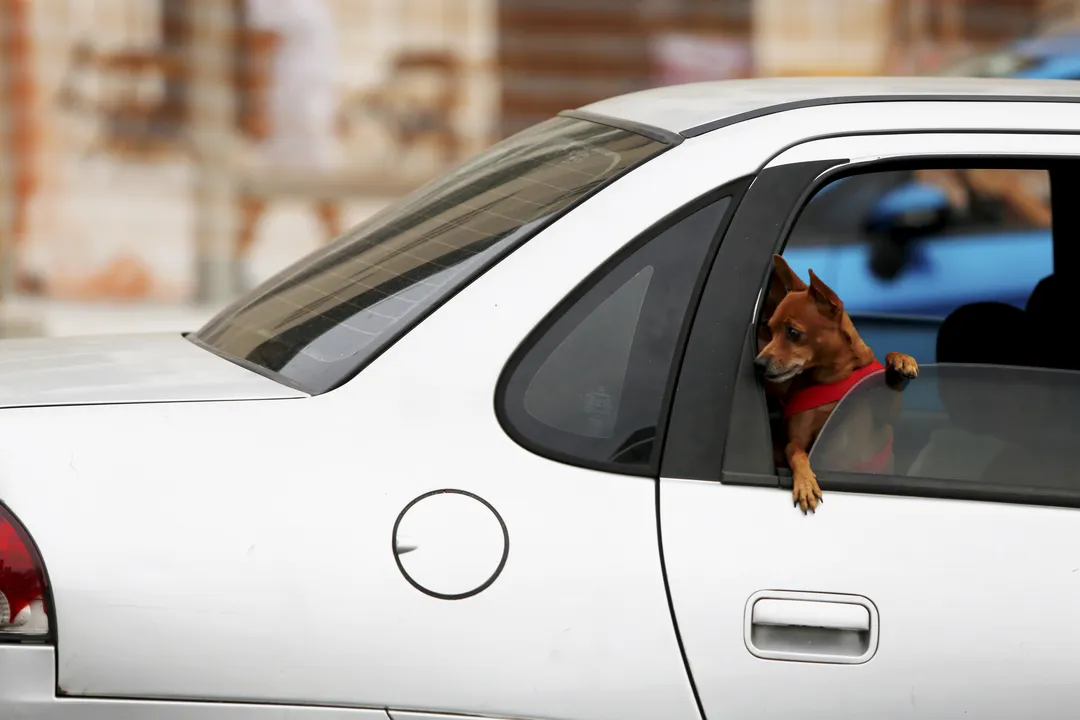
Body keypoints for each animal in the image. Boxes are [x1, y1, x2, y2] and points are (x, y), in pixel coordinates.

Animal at [756, 253, 915, 511]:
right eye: (770, 331)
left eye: (793, 332)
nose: (758, 363)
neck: (833, 378)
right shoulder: (797, 440)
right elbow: (798, 454)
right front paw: (805, 483)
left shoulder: (885, 417)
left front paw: (901, 360)